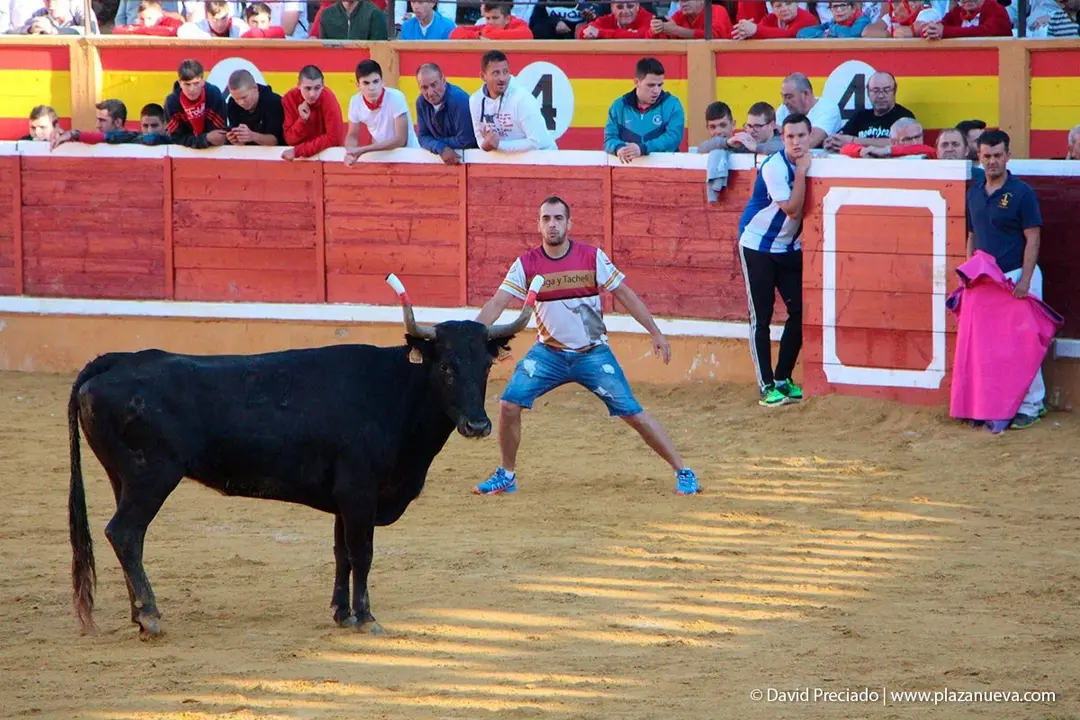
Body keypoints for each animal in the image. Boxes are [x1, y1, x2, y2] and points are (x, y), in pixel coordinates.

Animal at [67, 273, 544, 638]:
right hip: (152, 475)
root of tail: (116, 360)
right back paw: (150, 616)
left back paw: (139, 613)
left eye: (485, 367)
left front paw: (341, 613)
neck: (396, 391)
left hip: (122, 476)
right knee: (124, 533)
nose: (478, 425)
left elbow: (341, 552)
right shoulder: (359, 492)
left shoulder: (343, 499)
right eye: (445, 367)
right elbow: (362, 552)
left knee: (130, 537)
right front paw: (366, 617)